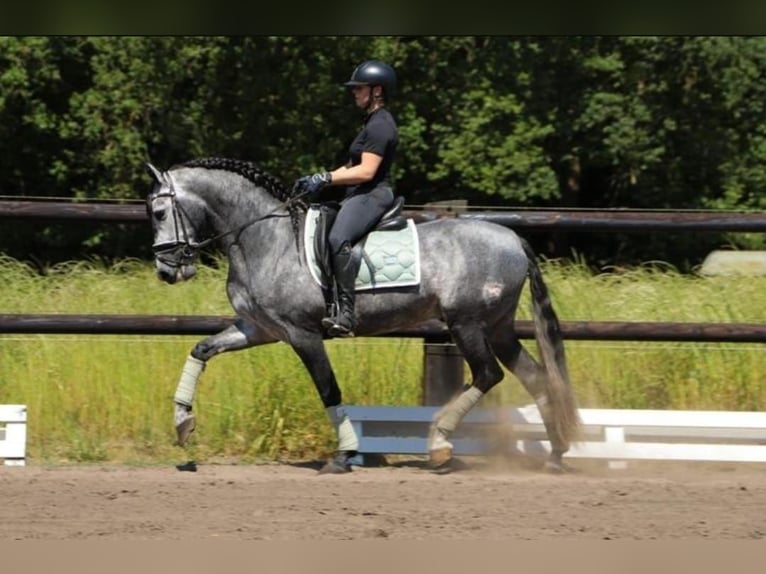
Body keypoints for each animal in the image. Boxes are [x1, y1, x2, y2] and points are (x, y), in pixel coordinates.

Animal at [145, 156, 581, 474]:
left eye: (160, 212)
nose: (166, 272)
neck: (266, 240)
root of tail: (513, 238)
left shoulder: (302, 334)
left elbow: (329, 389)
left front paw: (344, 455)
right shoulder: (260, 328)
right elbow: (201, 349)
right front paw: (182, 423)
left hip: (468, 324)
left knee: (488, 374)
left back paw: (440, 444)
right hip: (498, 326)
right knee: (535, 377)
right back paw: (555, 456)